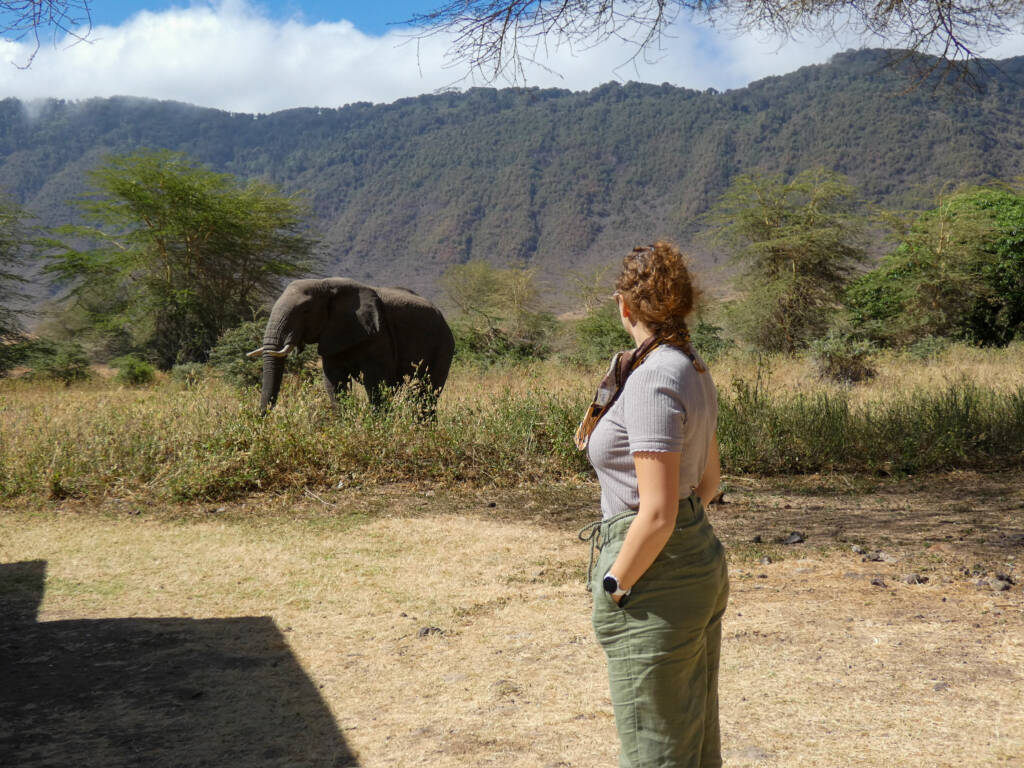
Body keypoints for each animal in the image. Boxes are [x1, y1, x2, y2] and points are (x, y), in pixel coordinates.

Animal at [247, 277, 455, 414]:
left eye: (305, 310)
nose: (263, 417)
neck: (326, 285)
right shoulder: (331, 336)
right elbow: (334, 381)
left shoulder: (379, 334)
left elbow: (376, 382)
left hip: (443, 346)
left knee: (427, 391)